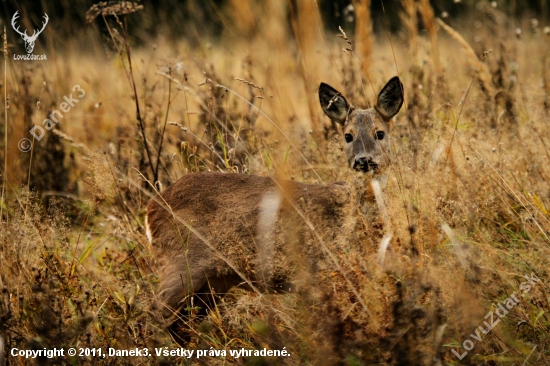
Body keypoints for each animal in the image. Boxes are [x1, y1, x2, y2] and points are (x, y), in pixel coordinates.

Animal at [147, 75, 406, 344]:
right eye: (348, 136)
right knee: (154, 314)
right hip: (182, 264)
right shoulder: (318, 272)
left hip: (213, 282)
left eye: (380, 133)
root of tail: (152, 207)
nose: (363, 160)